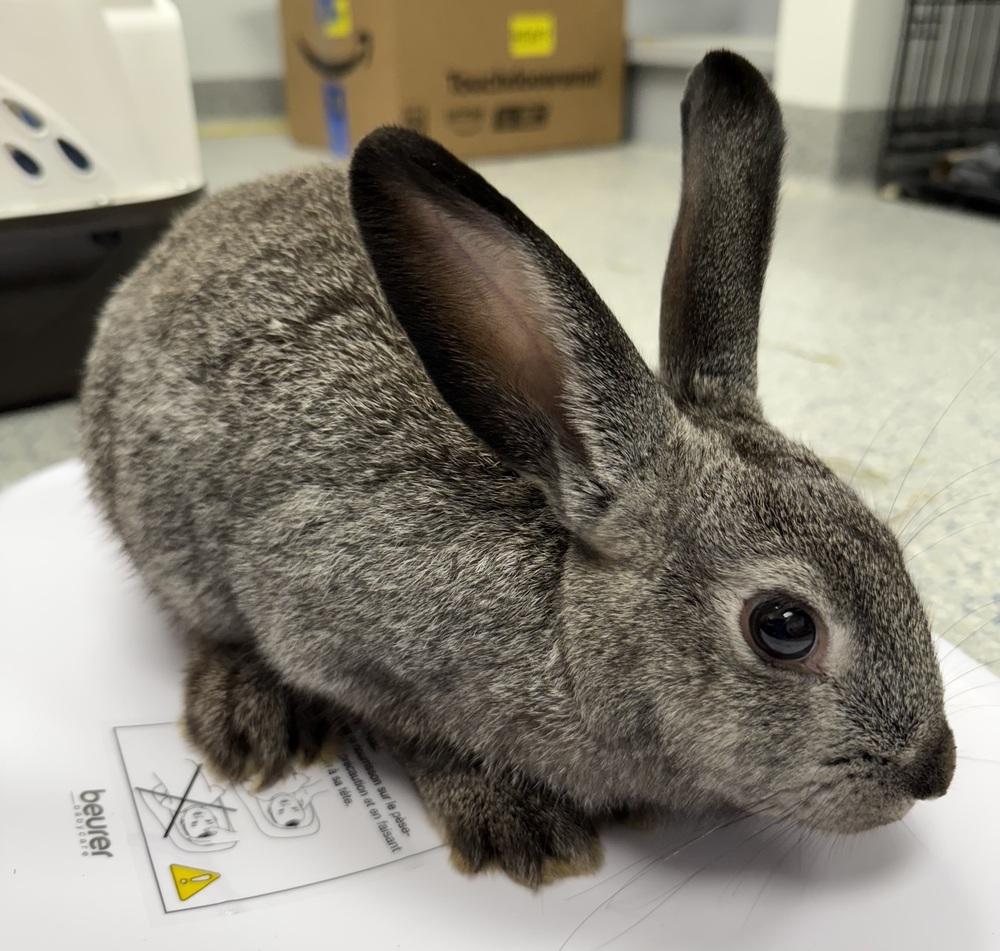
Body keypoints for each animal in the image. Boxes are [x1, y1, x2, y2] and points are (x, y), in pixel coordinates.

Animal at [80, 50, 955, 888]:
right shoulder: (334, 630)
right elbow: (420, 736)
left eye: (893, 553)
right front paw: (517, 823)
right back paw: (248, 718)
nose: (934, 769)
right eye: (784, 625)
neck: (567, 618)